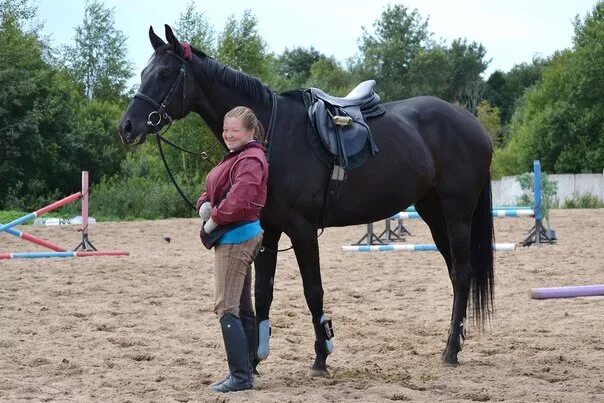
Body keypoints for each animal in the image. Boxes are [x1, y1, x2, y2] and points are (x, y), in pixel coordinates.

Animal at [119, 25, 496, 378]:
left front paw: (321, 356)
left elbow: (313, 289)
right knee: (455, 273)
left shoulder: (302, 229)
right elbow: (263, 292)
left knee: (463, 273)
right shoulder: (268, 230)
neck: (272, 132)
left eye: (165, 74)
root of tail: (473, 124)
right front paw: (254, 360)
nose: (127, 127)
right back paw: (455, 343)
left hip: (456, 213)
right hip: (433, 213)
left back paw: (450, 350)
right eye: (143, 72)